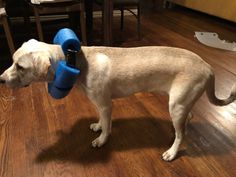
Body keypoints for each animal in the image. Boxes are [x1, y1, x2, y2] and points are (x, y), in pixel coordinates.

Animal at [0, 39, 236, 161]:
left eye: (20, 67)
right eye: (12, 62)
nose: (1, 79)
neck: (78, 62)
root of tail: (208, 67)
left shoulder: (106, 104)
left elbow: (107, 127)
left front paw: (101, 140)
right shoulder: (100, 104)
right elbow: (102, 121)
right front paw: (97, 126)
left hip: (176, 105)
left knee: (181, 135)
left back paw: (171, 152)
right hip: (180, 103)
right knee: (188, 118)